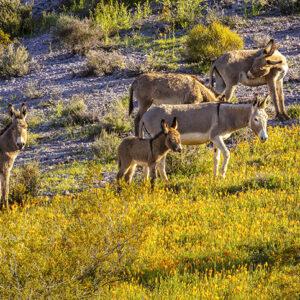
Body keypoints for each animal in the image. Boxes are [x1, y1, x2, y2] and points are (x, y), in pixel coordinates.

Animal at [141, 96, 270, 178]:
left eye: (267, 117)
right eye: (256, 119)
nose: (264, 138)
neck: (225, 115)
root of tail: (145, 115)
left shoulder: (216, 140)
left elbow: (216, 158)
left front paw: (215, 177)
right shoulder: (216, 137)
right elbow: (227, 154)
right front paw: (222, 175)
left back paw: (146, 183)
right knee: (160, 164)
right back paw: (166, 182)